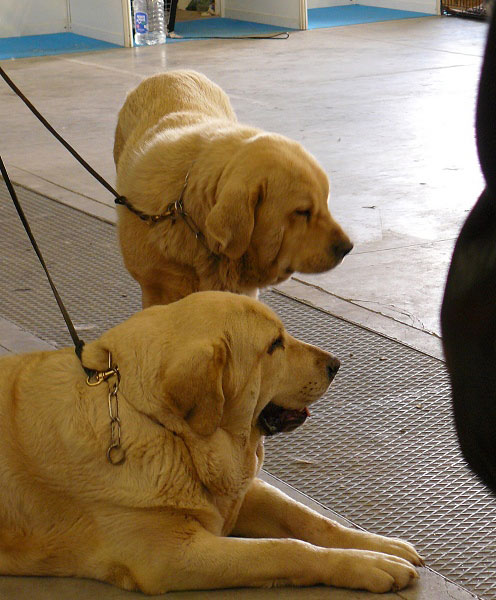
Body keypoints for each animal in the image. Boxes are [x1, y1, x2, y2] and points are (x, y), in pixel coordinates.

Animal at [0, 292, 420, 592]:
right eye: (274, 345)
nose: (335, 364)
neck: (168, 431)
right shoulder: (171, 555)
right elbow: (284, 548)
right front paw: (366, 564)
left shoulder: (238, 489)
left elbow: (308, 519)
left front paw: (379, 545)